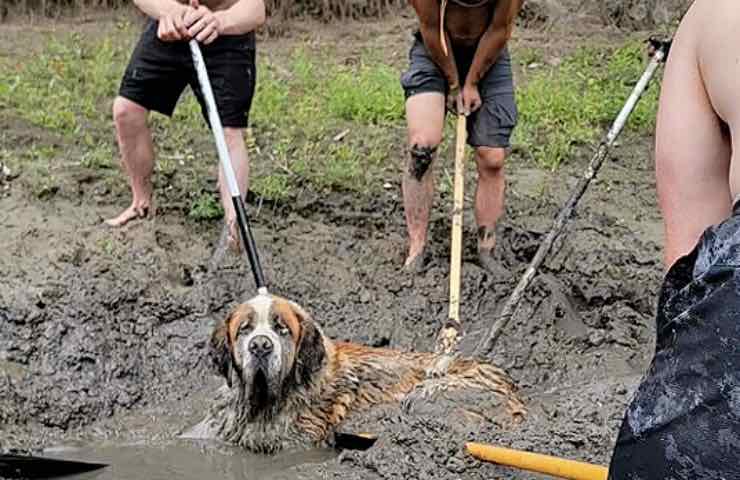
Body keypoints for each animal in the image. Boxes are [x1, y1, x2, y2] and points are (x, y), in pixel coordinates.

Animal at [191, 292, 528, 454]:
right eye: (244, 330)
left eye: (281, 329)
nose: (260, 346)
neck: (263, 404)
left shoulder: (298, 441)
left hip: (427, 395)